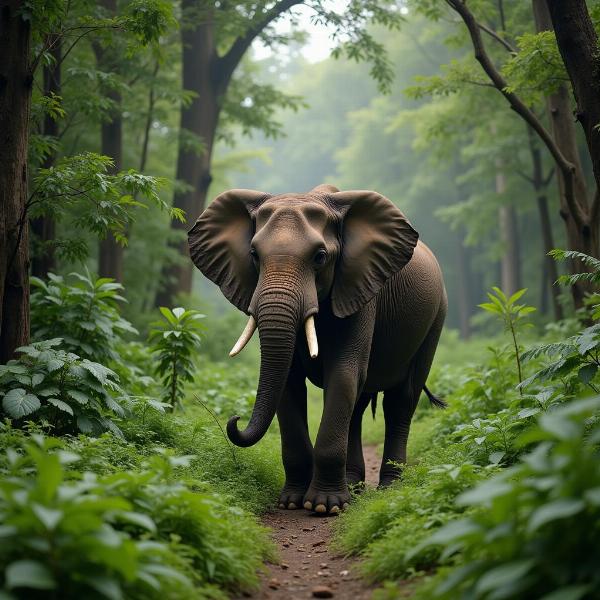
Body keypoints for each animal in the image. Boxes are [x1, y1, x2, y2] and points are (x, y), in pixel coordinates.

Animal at [188, 184, 446, 516]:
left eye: (320, 257)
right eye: (254, 256)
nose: (234, 420)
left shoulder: (360, 288)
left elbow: (344, 373)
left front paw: (325, 507)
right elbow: (289, 383)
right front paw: (291, 502)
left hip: (436, 318)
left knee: (401, 400)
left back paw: (388, 488)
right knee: (359, 406)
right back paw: (354, 485)